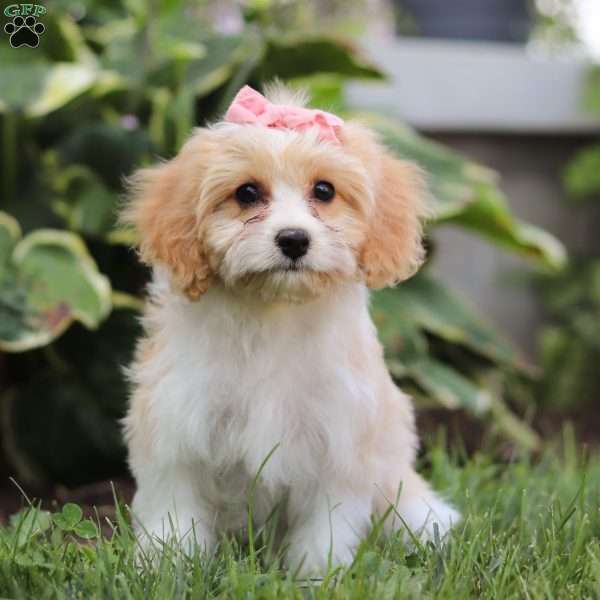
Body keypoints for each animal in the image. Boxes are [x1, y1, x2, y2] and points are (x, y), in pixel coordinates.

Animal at [122, 83, 460, 572]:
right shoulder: (178, 424)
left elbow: (328, 523)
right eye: (247, 193)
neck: (274, 311)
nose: (294, 239)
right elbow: (175, 507)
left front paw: (318, 573)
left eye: (324, 190)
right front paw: (166, 565)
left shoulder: (338, 438)